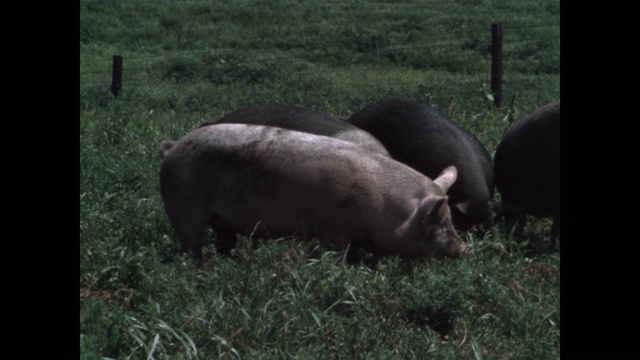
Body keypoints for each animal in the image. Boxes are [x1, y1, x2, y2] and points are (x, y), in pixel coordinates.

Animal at [158, 124, 468, 262]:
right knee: (191, 244)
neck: (385, 209)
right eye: (439, 222)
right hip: (183, 208)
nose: (463, 248)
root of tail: (172, 147)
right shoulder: (333, 231)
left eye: (451, 219)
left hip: (221, 222)